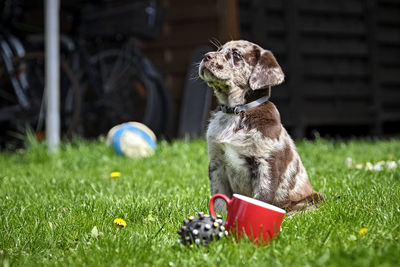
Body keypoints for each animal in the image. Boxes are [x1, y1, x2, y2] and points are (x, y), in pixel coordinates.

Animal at [198, 39, 324, 213]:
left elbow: (261, 198)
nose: (206, 56)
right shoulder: (217, 164)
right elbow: (219, 200)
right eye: (219, 50)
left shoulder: (266, 163)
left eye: (236, 54)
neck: (235, 112)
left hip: (312, 199)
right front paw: (219, 217)